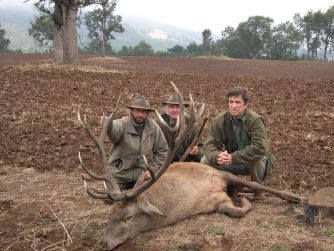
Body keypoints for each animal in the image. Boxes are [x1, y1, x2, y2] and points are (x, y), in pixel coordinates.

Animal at [77, 83, 302, 251]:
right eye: (110, 215)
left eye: (128, 217)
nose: (103, 243)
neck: (183, 200)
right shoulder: (215, 203)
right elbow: (234, 210)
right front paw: (242, 201)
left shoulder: (217, 173)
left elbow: (259, 188)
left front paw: (294, 197)